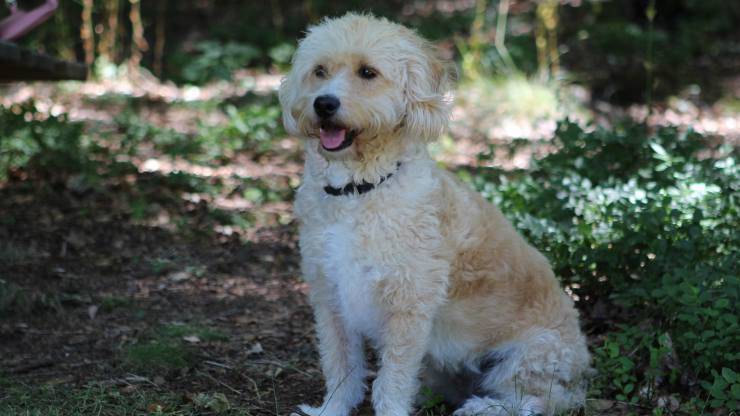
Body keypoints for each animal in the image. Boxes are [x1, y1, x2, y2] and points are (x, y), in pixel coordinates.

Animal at [280, 13, 592, 416]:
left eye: (367, 72)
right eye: (319, 71)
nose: (324, 104)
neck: (359, 191)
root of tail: (582, 368)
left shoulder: (408, 306)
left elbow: (391, 381)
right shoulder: (330, 297)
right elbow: (340, 366)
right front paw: (332, 410)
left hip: (532, 355)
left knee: (538, 401)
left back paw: (482, 407)